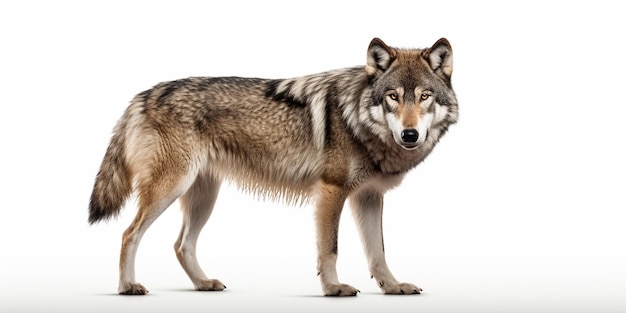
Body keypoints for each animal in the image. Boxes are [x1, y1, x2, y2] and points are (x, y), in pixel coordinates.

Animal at [88, 37, 456, 294]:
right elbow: (330, 249)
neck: (357, 119)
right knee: (129, 233)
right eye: (393, 97)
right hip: (171, 188)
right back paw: (127, 287)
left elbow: (378, 251)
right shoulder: (331, 192)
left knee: (182, 245)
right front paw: (333, 289)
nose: (410, 134)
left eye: (424, 97)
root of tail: (143, 95)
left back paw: (203, 284)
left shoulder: (368, 197)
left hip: (203, 197)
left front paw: (392, 288)